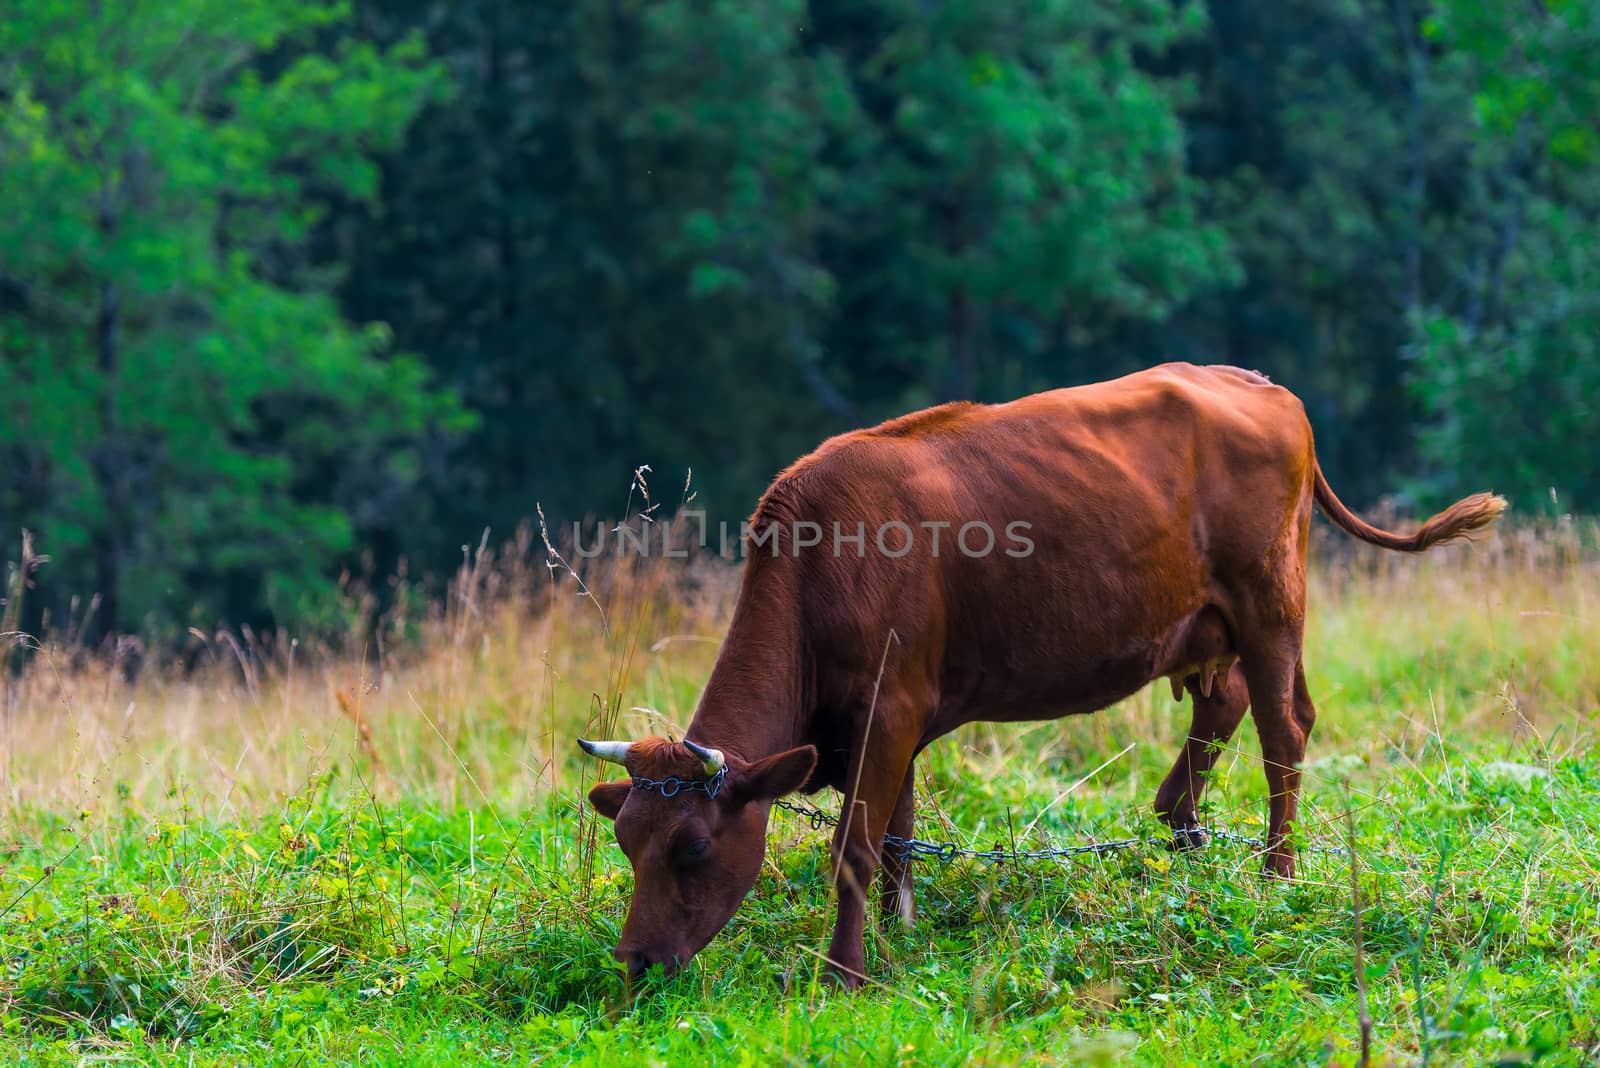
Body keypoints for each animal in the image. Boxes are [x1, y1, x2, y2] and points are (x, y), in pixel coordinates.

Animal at [582, 364, 1504, 984]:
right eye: (627, 840)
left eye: (696, 848)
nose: (634, 960)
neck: (820, 566)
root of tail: (1262, 385)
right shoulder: (893, 719)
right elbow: (896, 839)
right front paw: (898, 937)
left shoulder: (889, 706)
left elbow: (854, 845)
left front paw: (846, 970)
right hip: (1206, 621)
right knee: (1228, 704)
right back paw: (1182, 829)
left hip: (1272, 600)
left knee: (1285, 729)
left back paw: (1276, 875)